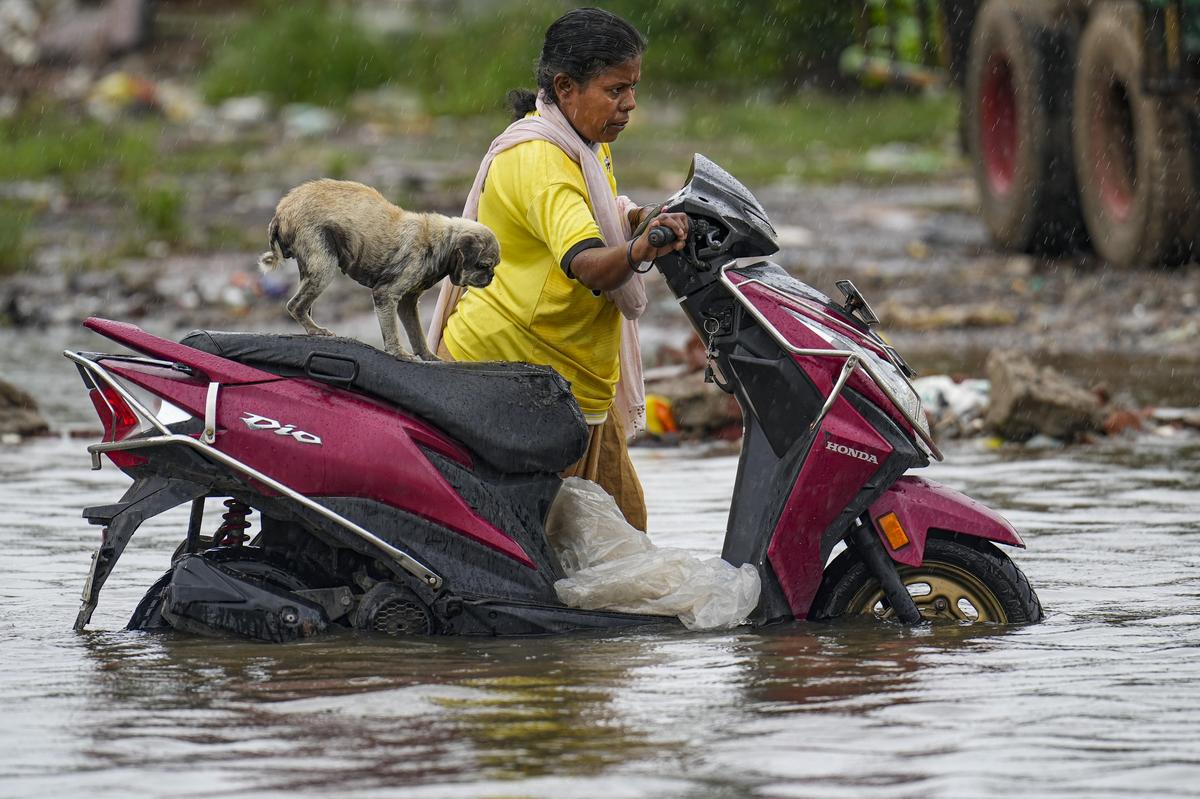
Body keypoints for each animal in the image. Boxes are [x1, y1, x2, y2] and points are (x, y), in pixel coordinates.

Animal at [258, 178, 501, 359]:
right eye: (484, 265)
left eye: (493, 267)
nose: (491, 276)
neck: (442, 241)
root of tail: (281, 212)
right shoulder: (386, 294)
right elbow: (392, 330)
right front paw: (397, 352)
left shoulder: (408, 303)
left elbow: (417, 334)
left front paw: (427, 356)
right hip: (323, 265)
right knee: (294, 305)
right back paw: (315, 330)